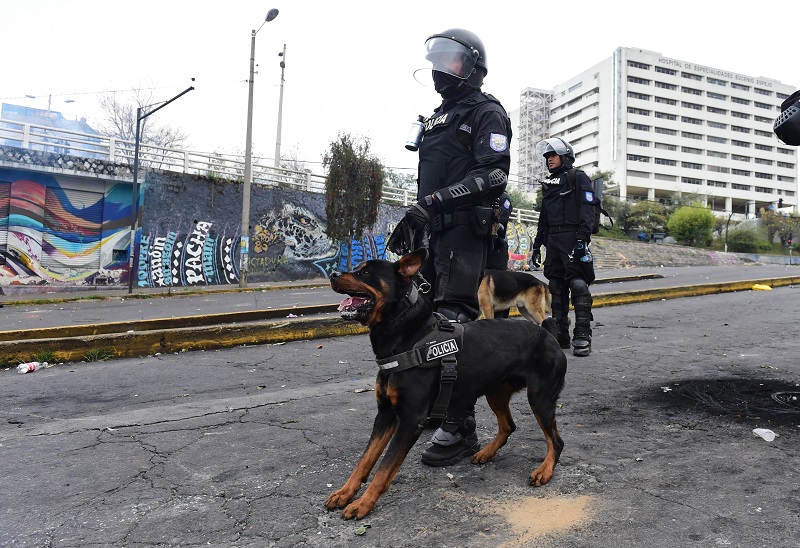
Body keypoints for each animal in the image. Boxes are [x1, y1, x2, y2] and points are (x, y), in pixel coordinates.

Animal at [326, 248, 568, 520]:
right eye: (357, 267)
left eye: (366, 272)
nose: (333, 275)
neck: (407, 337)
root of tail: (548, 334)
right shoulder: (385, 414)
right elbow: (365, 460)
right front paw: (345, 493)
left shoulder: (410, 420)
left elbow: (384, 467)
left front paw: (364, 503)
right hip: (496, 393)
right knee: (508, 426)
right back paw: (486, 452)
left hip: (540, 398)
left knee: (556, 442)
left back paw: (545, 471)